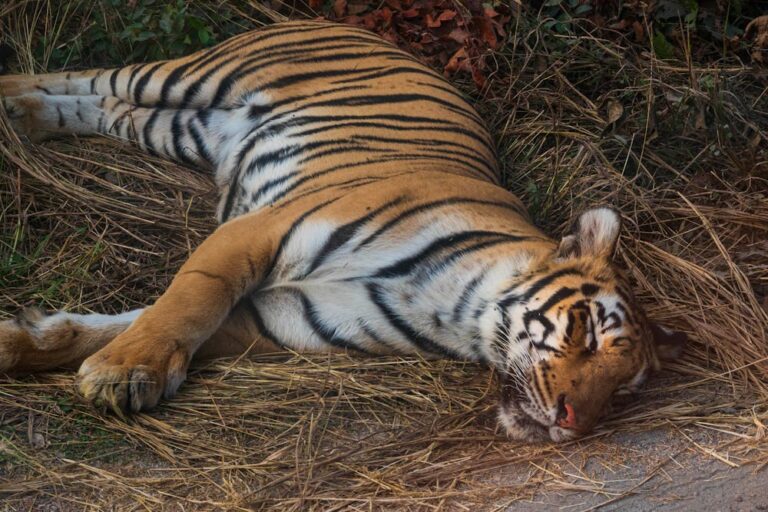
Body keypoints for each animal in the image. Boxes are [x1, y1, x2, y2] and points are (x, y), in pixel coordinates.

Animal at [0, 20, 686, 442]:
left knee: (102, 106)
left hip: (178, 130)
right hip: (191, 75)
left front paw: (25, 344)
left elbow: (121, 323)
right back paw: (10, 96)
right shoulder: (257, 231)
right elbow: (184, 303)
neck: (454, 314)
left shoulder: (275, 319)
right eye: (588, 331)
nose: (572, 422)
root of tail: (365, 29)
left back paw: (25, 119)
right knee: (94, 75)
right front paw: (125, 373)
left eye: (623, 394)